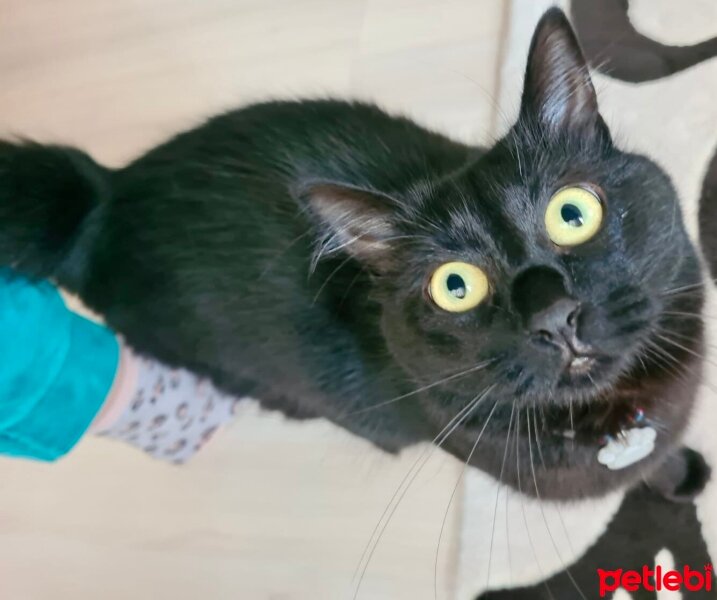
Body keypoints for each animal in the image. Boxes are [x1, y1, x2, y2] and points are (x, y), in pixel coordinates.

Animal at [0, 9, 704, 502]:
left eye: (572, 214)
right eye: (455, 286)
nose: (554, 316)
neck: (621, 409)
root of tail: (105, 193)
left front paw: (679, 470)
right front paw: (673, 481)